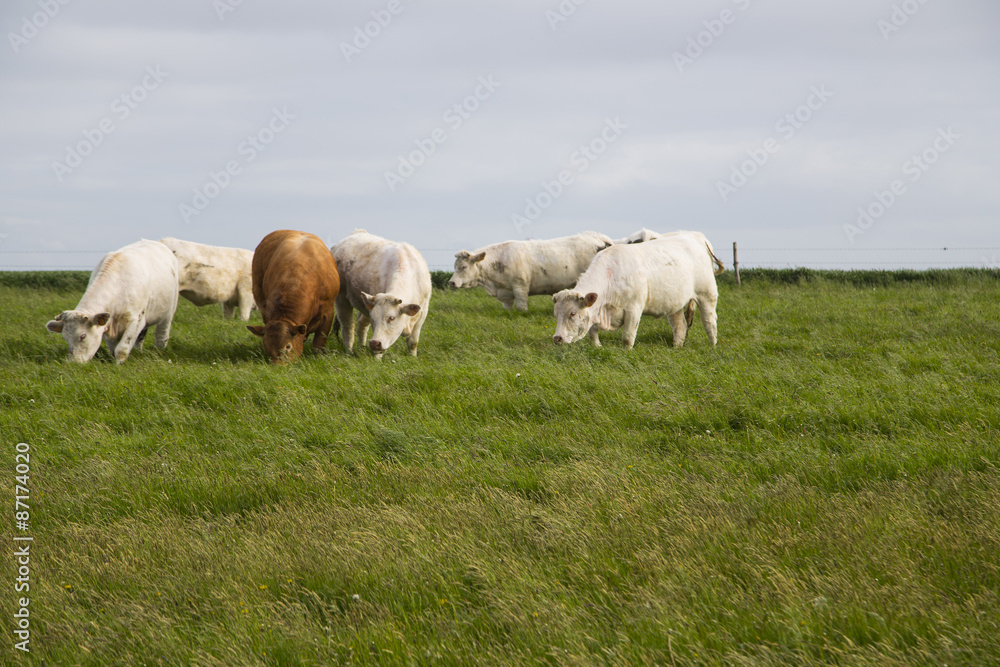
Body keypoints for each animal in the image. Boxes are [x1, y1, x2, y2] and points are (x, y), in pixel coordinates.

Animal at [46, 239, 180, 366]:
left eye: (82, 336)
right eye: (65, 337)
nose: (73, 362)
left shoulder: (136, 320)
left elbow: (121, 349)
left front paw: (119, 364)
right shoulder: (107, 326)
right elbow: (112, 349)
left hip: (169, 312)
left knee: (162, 336)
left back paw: (160, 351)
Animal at [332, 230, 430, 358]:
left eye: (392, 318)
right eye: (374, 318)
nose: (374, 343)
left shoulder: (423, 312)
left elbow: (413, 341)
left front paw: (412, 358)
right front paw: (377, 359)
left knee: (361, 324)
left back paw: (361, 347)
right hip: (341, 299)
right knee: (348, 326)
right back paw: (349, 351)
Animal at [450, 231, 612, 312]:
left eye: (463, 267)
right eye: (454, 266)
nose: (451, 283)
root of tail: (597, 237)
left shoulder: (520, 286)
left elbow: (522, 307)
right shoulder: (506, 293)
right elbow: (507, 308)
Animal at [552, 231, 724, 350]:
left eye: (572, 313)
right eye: (556, 314)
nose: (557, 338)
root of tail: (695, 236)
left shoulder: (633, 309)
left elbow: (627, 337)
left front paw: (626, 352)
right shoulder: (597, 311)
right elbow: (592, 333)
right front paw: (597, 347)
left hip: (707, 294)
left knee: (709, 322)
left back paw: (713, 346)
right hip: (675, 303)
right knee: (680, 326)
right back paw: (676, 347)